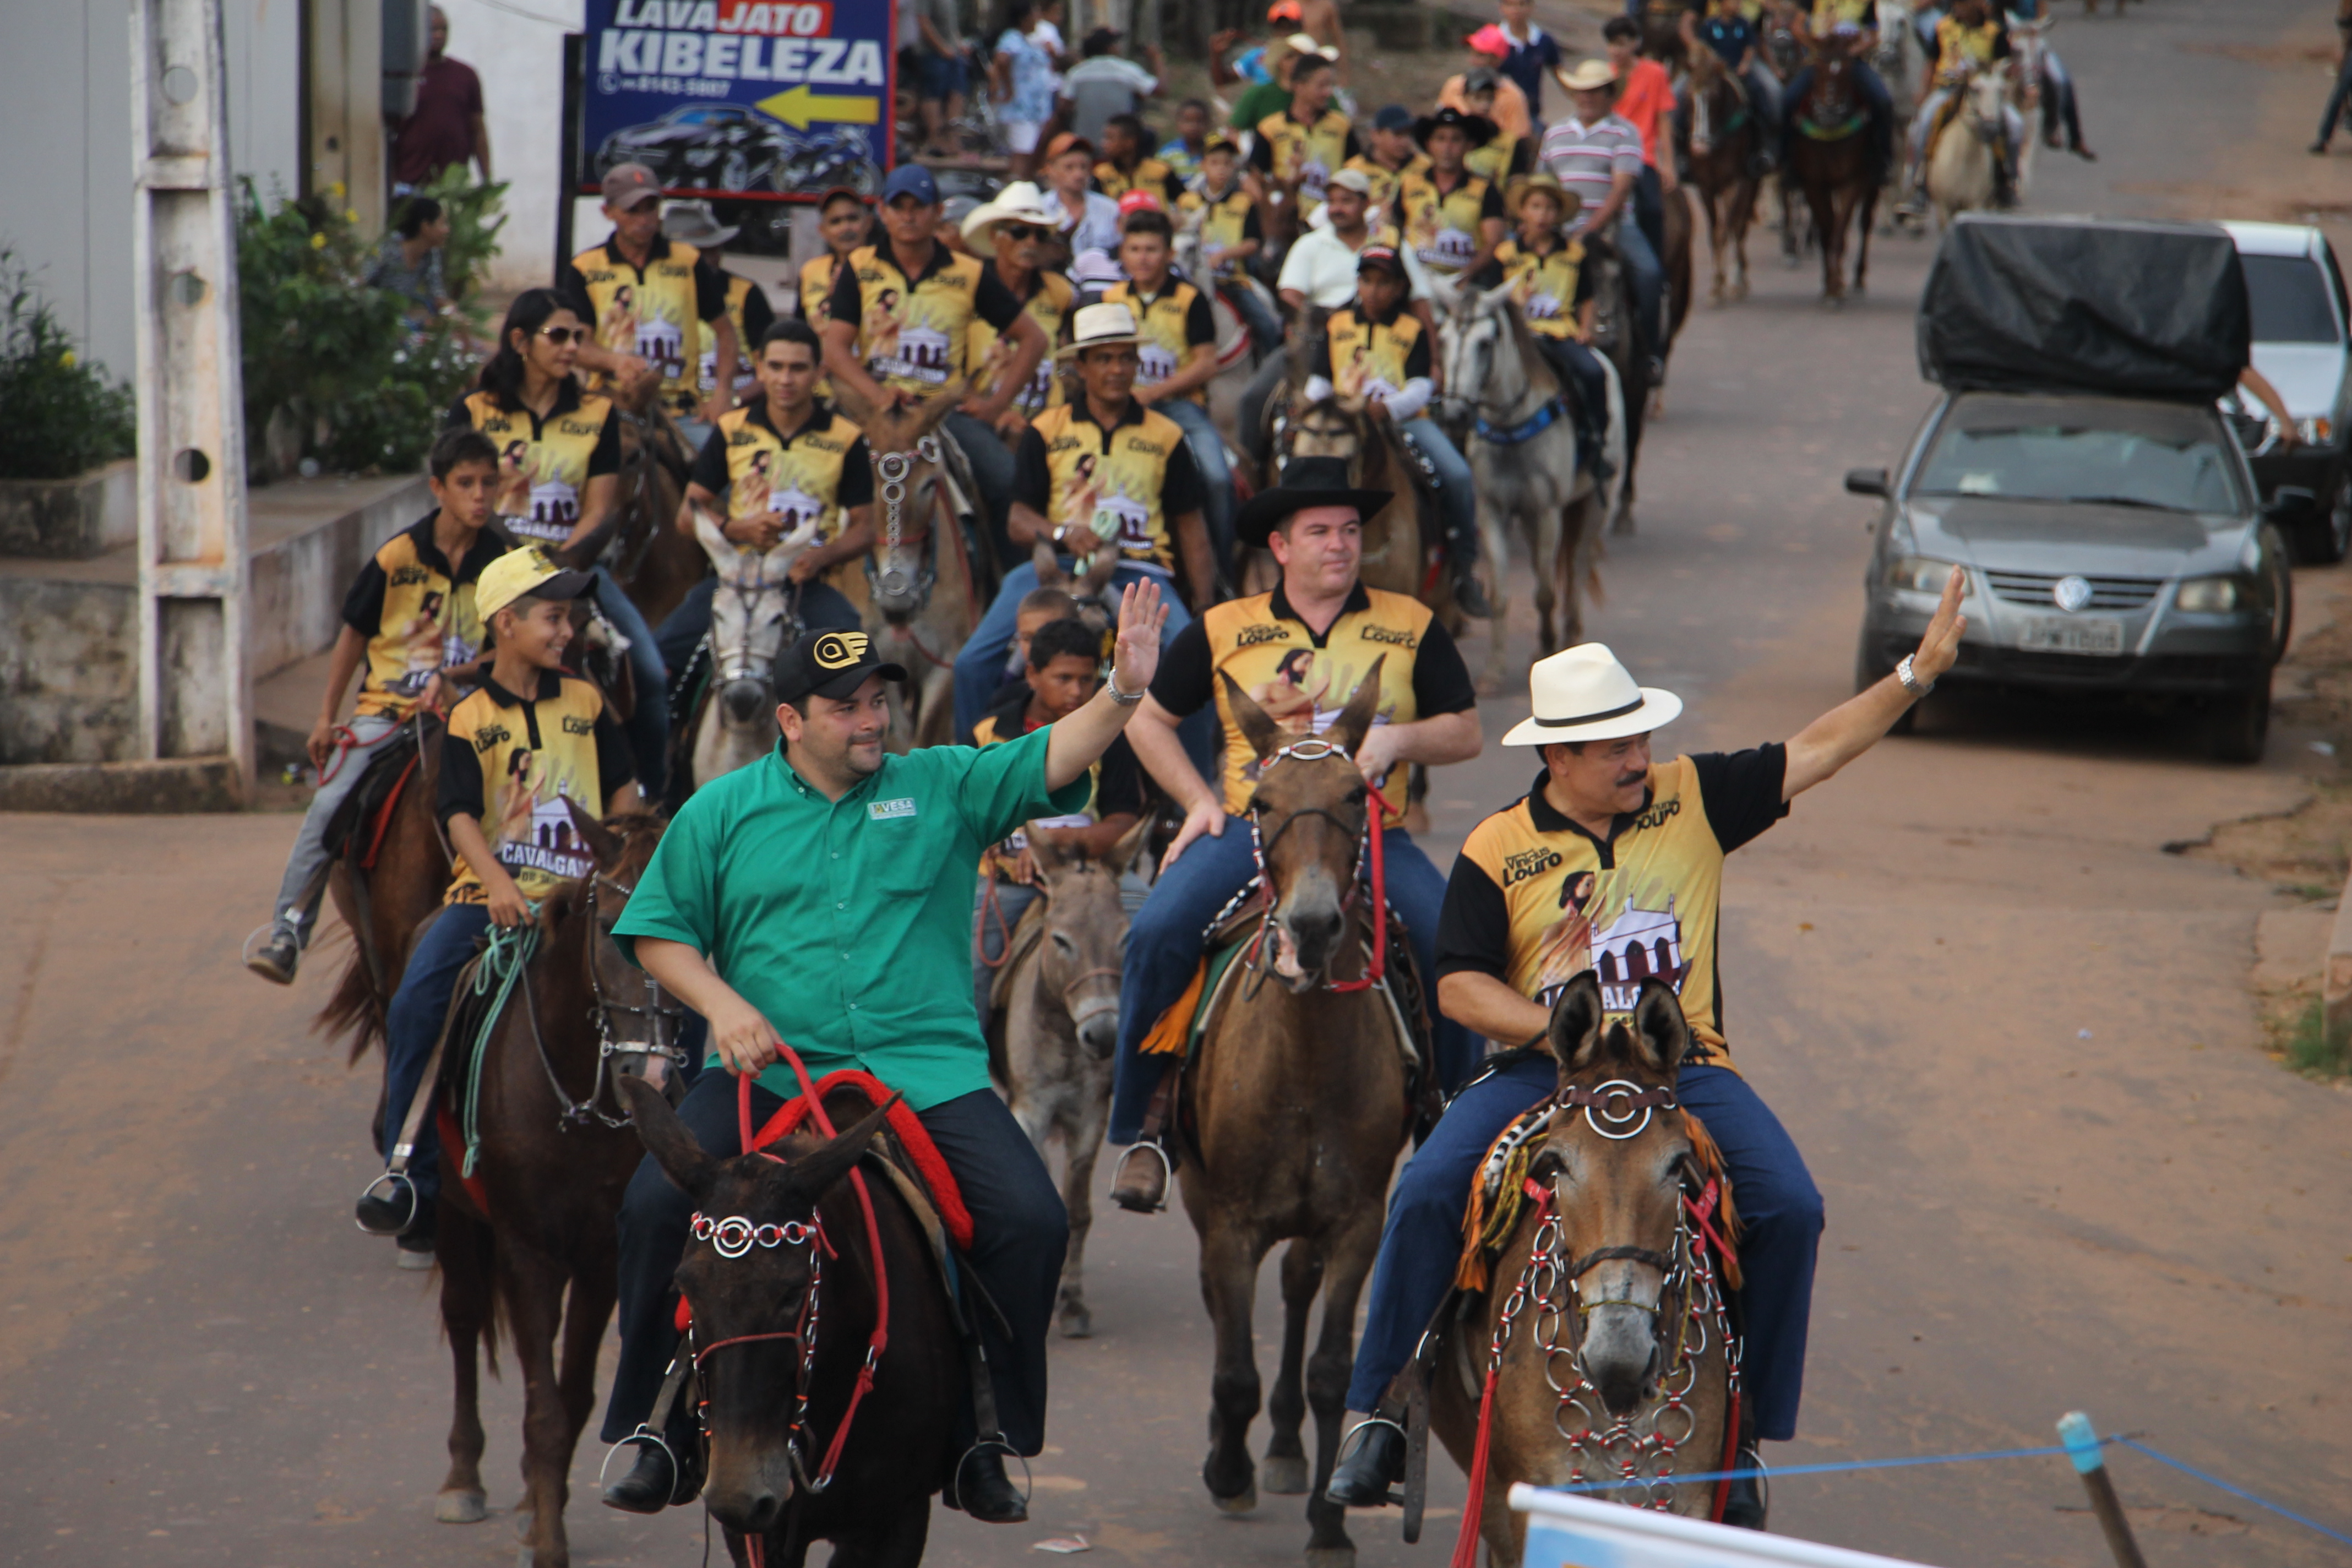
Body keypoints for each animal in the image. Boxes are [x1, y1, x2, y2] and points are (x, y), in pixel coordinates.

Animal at [1439, 285, 1627, 691]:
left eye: (1485, 343)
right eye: (1443, 339)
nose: (1454, 415)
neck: (1511, 426)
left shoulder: (1547, 510)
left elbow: (1545, 592)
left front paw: (1548, 648)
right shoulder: (1493, 511)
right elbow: (1501, 595)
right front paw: (1494, 671)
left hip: (1594, 502)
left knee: (1577, 566)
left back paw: (1571, 635)